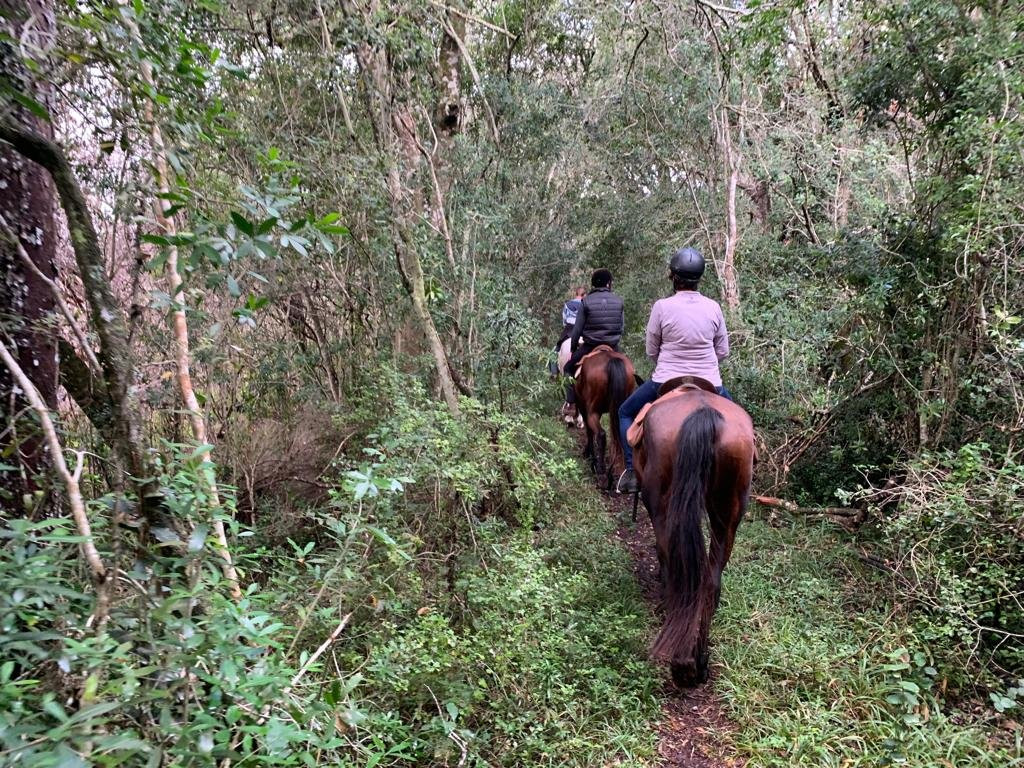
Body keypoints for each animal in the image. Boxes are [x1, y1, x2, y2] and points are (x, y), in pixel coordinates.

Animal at [573, 348, 634, 487]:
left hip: (592, 411)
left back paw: (600, 469)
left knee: (601, 434)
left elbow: (589, 431)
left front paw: (588, 453)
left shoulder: (584, 407)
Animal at [634, 393, 757, 688]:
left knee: (673, 560)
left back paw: (681, 662)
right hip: (729, 511)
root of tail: (704, 413)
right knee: (710, 580)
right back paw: (697, 662)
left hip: (660, 502)